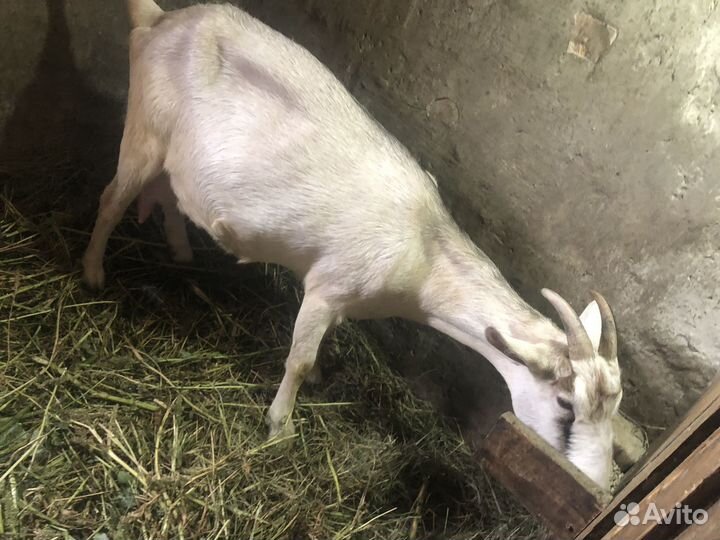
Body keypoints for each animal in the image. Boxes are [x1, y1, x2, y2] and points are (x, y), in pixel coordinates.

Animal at [83, 0, 623, 488]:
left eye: (613, 406)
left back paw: (180, 251)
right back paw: (93, 273)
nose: (598, 483)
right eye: (565, 403)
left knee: (170, 194)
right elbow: (297, 358)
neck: (423, 250)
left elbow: (317, 348)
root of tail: (159, 18)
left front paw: (319, 379)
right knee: (110, 198)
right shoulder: (328, 286)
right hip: (145, 128)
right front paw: (281, 427)